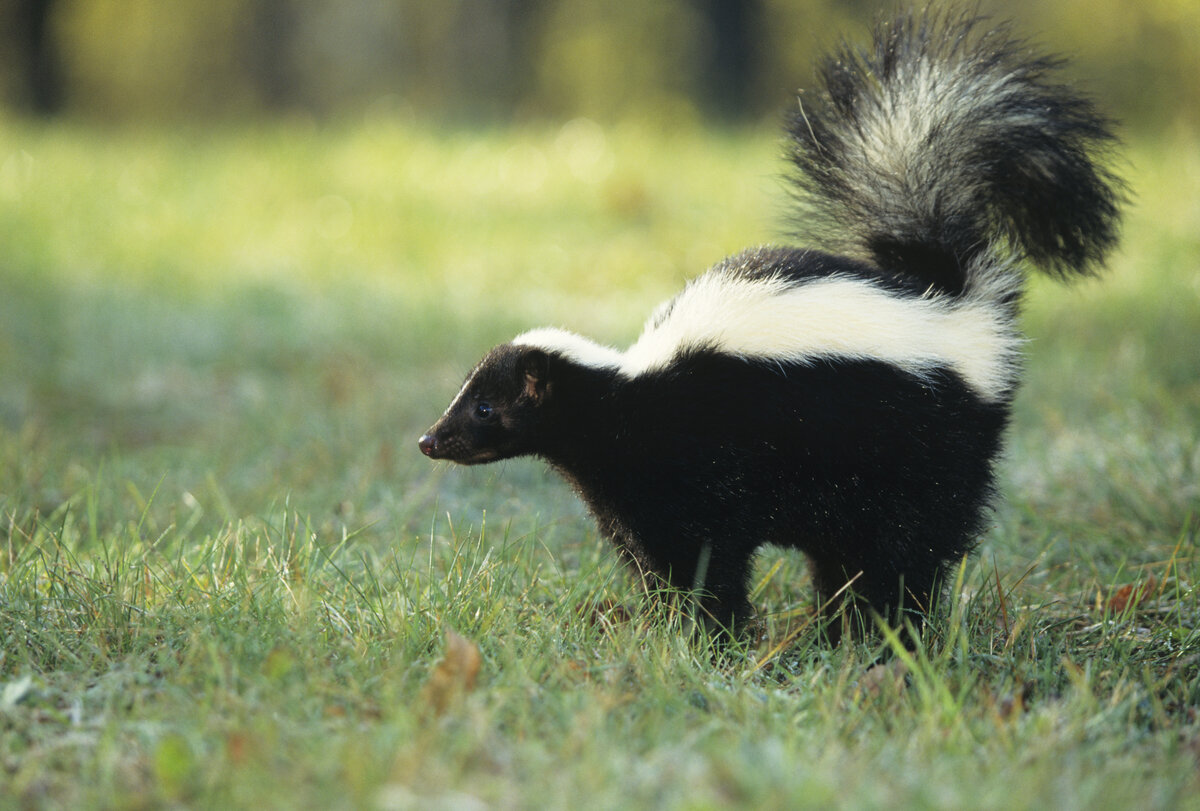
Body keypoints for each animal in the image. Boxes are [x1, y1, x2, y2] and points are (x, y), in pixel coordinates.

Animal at [415, 6, 1123, 638]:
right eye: (464, 398)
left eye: (484, 408)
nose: (429, 440)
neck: (624, 395)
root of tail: (946, 299)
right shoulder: (633, 496)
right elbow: (656, 563)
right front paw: (666, 629)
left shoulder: (695, 469)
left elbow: (707, 561)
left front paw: (711, 637)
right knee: (850, 556)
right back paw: (840, 628)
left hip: (922, 450)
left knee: (906, 549)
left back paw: (887, 632)